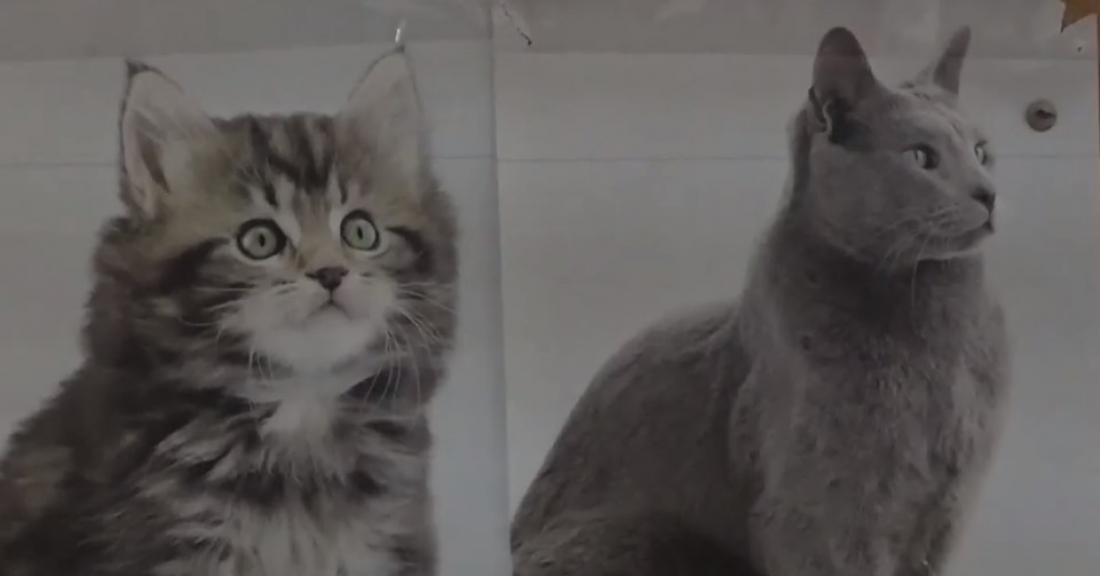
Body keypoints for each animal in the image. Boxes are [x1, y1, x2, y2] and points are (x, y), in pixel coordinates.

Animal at [512, 25, 1009, 576]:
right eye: (921, 157)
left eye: (982, 151)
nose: (989, 193)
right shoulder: (823, 513)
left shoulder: (945, 509)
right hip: (637, 537)